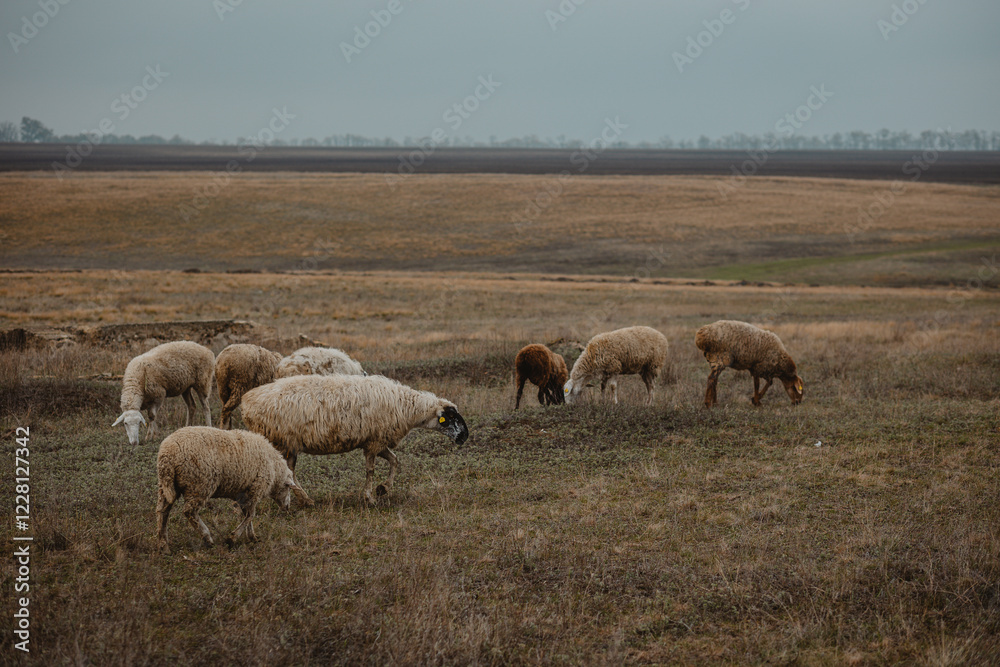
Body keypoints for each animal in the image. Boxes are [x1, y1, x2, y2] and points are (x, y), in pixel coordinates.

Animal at [155, 427, 299, 552]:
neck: (275, 470)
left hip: (167, 486)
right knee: (189, 512)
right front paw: (233, 538)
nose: (287, 508)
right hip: (199, 485)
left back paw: (163, 545)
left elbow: (247, 516)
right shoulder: (254, 490)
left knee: (163, 511)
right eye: (289, 489)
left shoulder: (243, 493)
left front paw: (252, 536)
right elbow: (250, 515)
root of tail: (167, 454)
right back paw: (207, 538)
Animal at [241, 374, 469, 506]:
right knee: (284, 471)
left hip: (288, 445)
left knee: (289, 472)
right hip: (280, 441)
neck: (407, 408)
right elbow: (370, 470)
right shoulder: (374, 441)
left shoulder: (377, 440)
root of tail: (246, 401)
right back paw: (303, 500)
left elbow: (395, 461)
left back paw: (304, 499)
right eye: (451, 417)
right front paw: (370, 497)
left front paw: (383, 489)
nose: (465, 436)